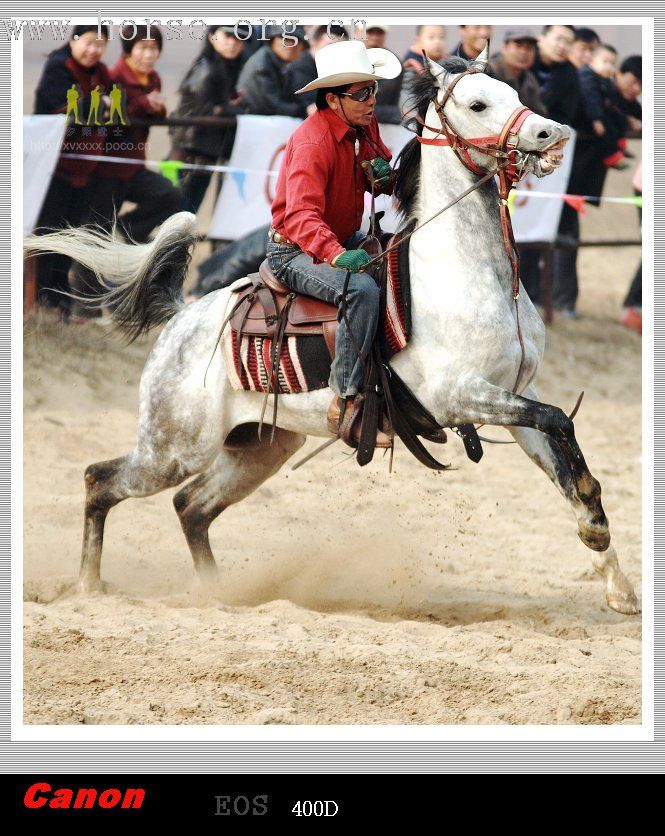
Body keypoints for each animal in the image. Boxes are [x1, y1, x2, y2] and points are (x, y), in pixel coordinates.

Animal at [24, 49, 640, 616]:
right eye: (477, 104)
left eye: (511, 90)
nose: (552, 133)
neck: (465, 270)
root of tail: (184, 317)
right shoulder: (459, 395)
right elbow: (560, 422)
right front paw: (598, 533)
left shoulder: (515, 395)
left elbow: (560, 450)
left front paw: (614, 576)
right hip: (172, 447)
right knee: (100, 480)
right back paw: (89, 586)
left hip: (258, 449)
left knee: (190, 507)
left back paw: (218, 595)